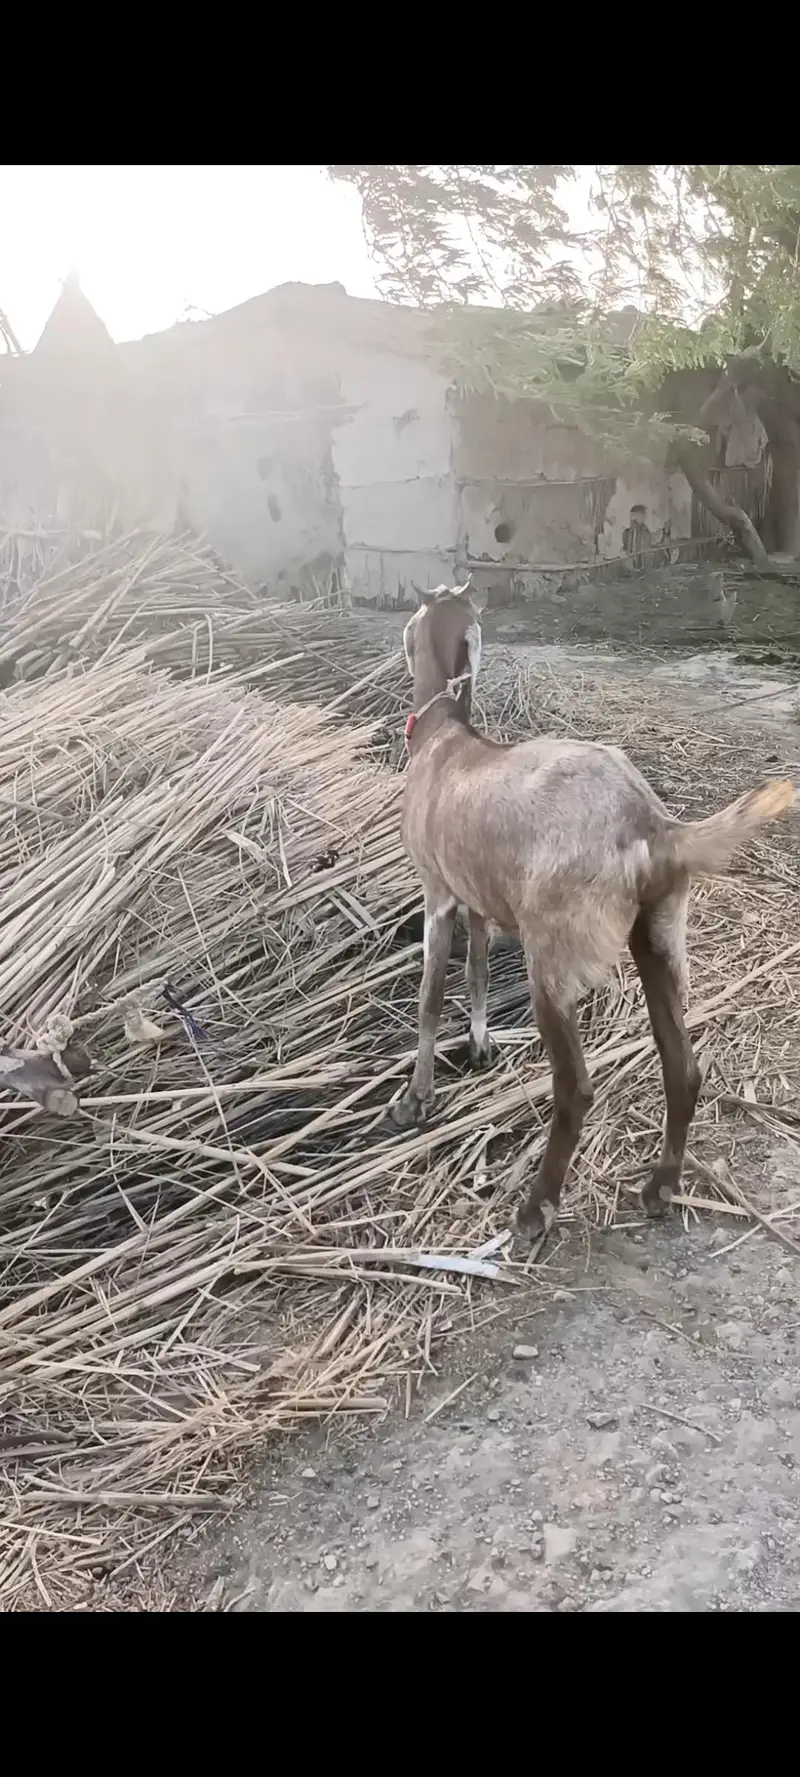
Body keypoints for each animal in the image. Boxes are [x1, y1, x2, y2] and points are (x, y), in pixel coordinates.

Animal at [393, 581, 795, 1237]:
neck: (445, 738)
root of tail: (652, 826)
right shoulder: (478, 896)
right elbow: (477, 970)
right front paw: (479, 1045)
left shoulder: (438, 890)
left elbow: (430, 996)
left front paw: (416, 1097)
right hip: (659, 932)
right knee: (682, 1066)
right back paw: (660, 1186)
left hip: (555, 956)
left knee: (576, 1086)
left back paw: (536, 1207)